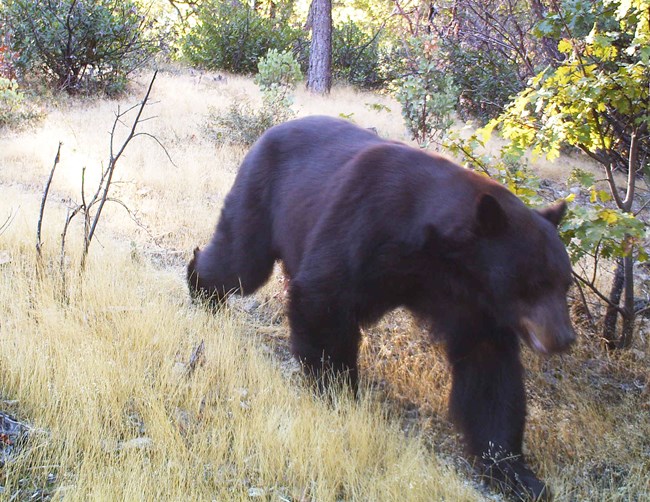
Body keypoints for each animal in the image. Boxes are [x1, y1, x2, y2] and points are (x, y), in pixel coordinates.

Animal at [187, 116, 572, 498]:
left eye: (565, 284)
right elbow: (324, 295)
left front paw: (516, 473)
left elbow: (489, 373)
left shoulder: (470, 300)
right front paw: (339, 394)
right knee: (241, 260)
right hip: (263, 193)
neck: (438, 254)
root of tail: (271, 132)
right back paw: (200, 287)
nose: (564, 338)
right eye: (532, 285)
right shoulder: (364, 224)